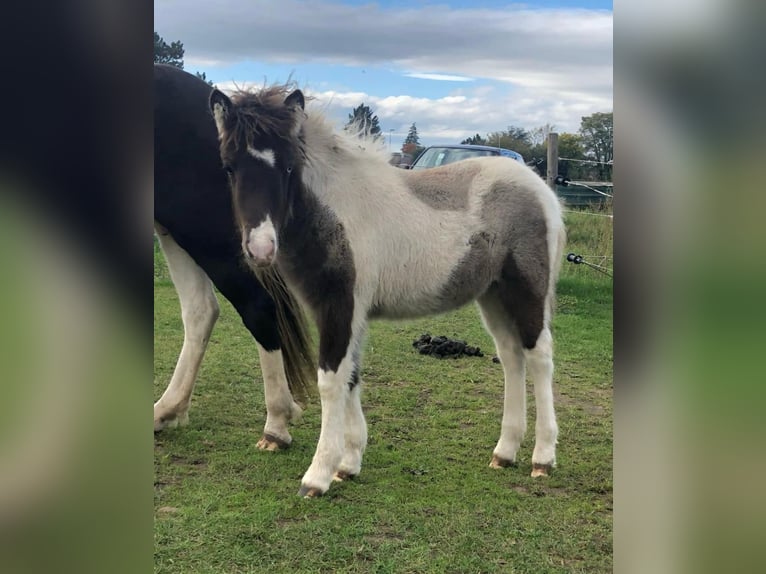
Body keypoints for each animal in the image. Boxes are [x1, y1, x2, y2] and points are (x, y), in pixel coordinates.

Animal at [154, 65, 314, 452]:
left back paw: (276, 423)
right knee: (201, 310)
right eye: (229, 168)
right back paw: (166, 411)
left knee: (255, 305)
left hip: (200, 231)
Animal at [207, 86, 568, 500]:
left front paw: (317, 475)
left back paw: (542, 458)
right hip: (492, 295)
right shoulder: (341, 312)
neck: (334, 211)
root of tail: (541, 189)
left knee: (539, 356)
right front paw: (348, 465)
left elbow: (330, 380)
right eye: (229, 167)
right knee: (511, 357)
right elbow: (351, 376)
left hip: (526, 289)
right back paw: (505, 452)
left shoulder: (341, 305)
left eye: (287, 167)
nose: (261, 249)